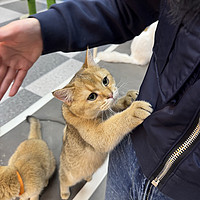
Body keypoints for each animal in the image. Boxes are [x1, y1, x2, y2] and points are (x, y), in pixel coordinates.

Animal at [52, 48, 152, 200]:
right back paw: (64, 193)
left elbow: (115, 107)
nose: (110, 94)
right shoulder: (100, 135)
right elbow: (116, 122)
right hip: (70, 176)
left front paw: (128, 98)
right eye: (92, 96)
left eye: (105, 80)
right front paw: (133, 111)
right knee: (63, 180)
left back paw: (88, 177)